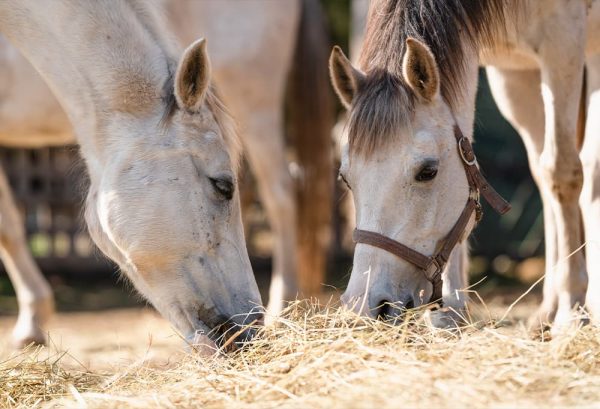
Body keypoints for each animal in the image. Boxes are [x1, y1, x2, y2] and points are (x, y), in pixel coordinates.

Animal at [330, 0, 600, 332]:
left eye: (427, 172)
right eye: (346, 179)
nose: (365, 304)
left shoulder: (563, 41)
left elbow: (562, 172)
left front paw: (572, 310)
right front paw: (449, 312)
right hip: (518, 76)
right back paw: (547, 309)